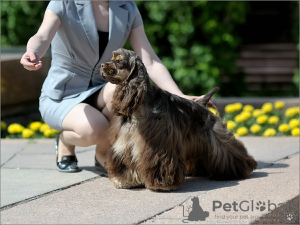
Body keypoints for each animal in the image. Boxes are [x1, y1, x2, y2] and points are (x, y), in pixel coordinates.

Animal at [100, 48, 255, 191]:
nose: (102, 65)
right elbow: (126, 161)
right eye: (112, 58)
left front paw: (162, 185)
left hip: (216, 136)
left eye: (119, 61)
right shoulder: (126, 141)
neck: (139, 106)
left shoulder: (159, 143)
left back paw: (242, 169)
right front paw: (125, 181)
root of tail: (202, 104)